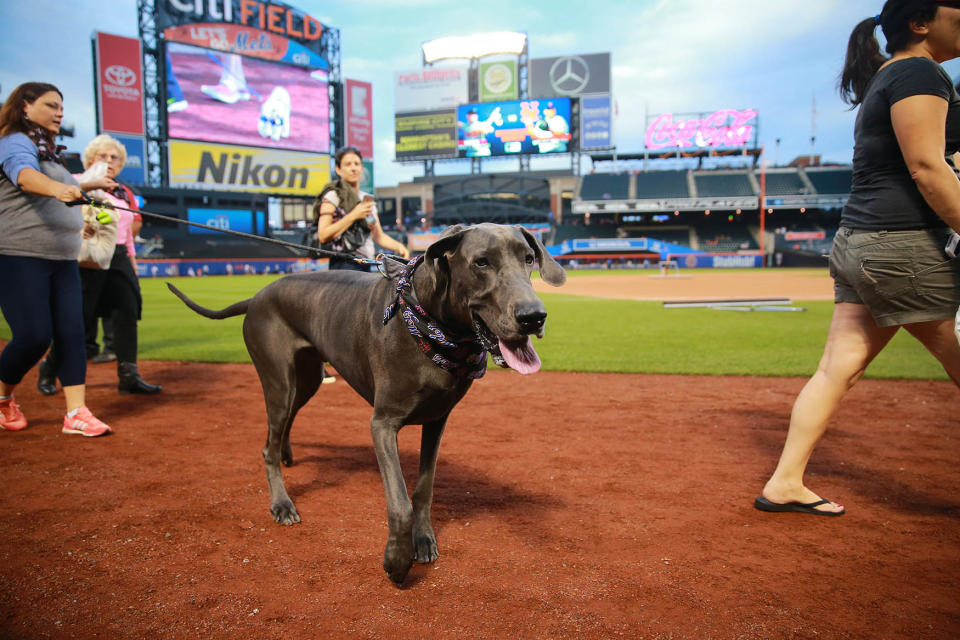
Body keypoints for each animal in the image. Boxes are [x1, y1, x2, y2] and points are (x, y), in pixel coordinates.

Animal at [169, 222, 568, 584]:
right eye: (481, 262)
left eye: (529, 258)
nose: (534, 316)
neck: (434, 325)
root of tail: (257, 296)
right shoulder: (383, 424)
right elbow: (400, 503)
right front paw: (397, 562)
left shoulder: (437, 419)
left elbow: (424, 487)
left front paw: (424, 540)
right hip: (278, 381)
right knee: (268, 441)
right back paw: (281, 504)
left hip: (307, 380)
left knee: (281, 428)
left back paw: (285, 454)